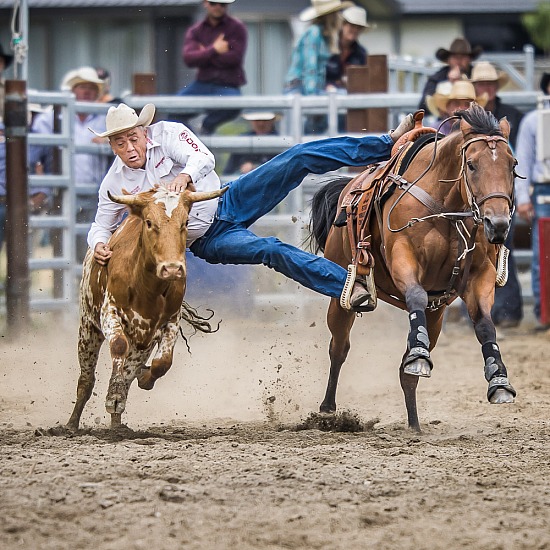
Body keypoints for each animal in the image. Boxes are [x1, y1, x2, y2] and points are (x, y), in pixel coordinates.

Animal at [312, 102, 520, 432]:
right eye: (472, 165)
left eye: (512, 165)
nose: (497, 224)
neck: (446, 208)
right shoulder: (403, 257)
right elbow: (416, 296)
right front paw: (419, 351)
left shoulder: (480, 274)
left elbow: (486, 324)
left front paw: (498, 378)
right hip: (341, 294)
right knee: (339, 347)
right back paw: (328, 410)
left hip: (436, 316)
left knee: (405, 374)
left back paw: (414, 424)